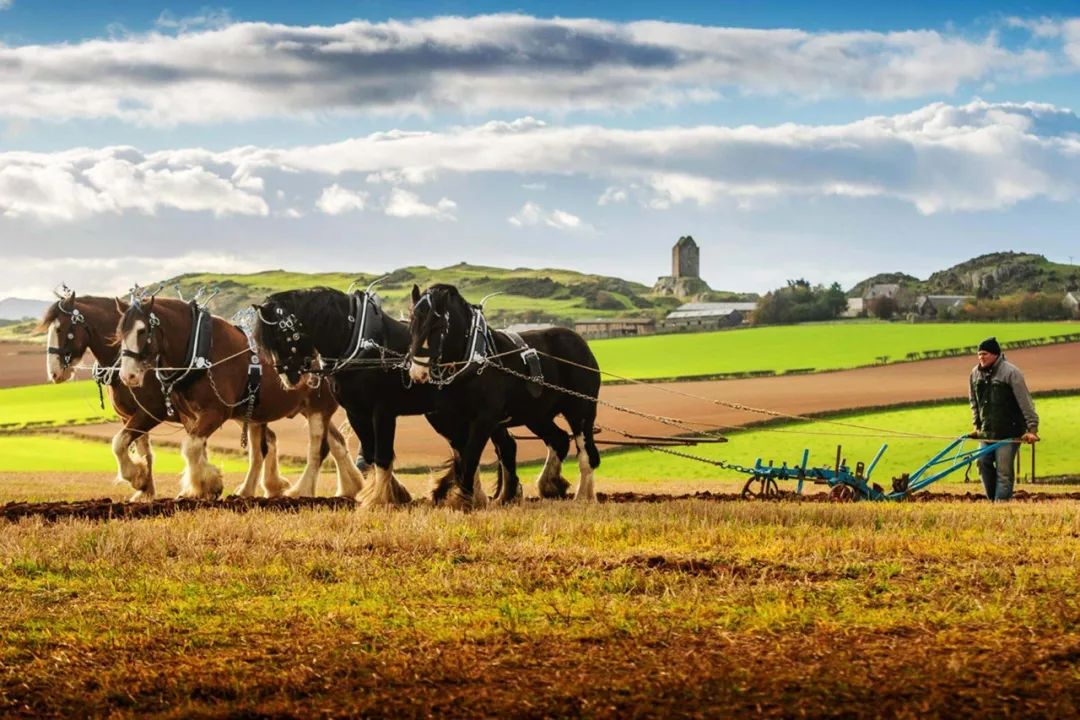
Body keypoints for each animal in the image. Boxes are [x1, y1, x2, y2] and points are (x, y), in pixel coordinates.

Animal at [39, 293, 293, 500]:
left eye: (60, 330)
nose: (54, 373)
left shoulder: (152, 412)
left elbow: (120, 442)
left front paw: (140, 479)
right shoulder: (132, 416)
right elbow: (141, 450)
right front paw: (145, 488)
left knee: (262, 445)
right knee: (267, 441)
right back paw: (270, 487)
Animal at [116, 293, 362, 500]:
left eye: (142, 331)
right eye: (120, 333)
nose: (127, 375)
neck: (201, 349)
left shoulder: (215, 412)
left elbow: (191, 447)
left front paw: (208, 484)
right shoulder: (189, 416)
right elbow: (122, 441)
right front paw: (142, 477)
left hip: (318, 407)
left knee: (318, 448)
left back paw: (301, 492)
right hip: (305, 408)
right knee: (334, 444)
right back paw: (349, 488)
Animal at [252, 284, 540, 507]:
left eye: (282, 334)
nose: (287, 376)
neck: (360, 342)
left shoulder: (383, 411)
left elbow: (382, 454)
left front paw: (379, 498)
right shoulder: (356, 412)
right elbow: (370, 453)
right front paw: (392, 492)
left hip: (478, 413)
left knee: (484, 448)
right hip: (451, 416)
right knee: (491, 446)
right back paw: (489, 495)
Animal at [408, 280, 604, 507]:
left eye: (439, 325)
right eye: (412, 321)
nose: (418, 372)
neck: (474, 357)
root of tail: (580, 342)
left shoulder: (484, 419)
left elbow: (471, 457)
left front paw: (465, 500)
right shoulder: (452, 423)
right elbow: (462, 460)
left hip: (581, 410)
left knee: (586, 454)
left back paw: (583, 497)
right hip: (536, 415)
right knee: (559, 440)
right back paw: (548, 485)